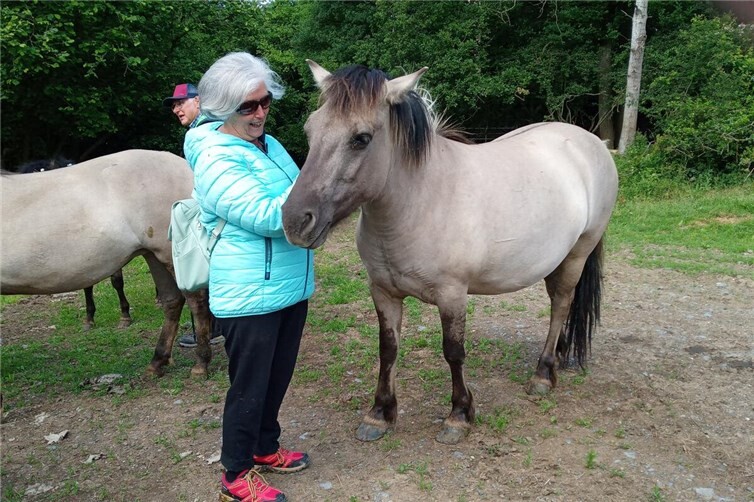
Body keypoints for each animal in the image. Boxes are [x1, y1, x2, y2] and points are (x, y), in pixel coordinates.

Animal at [282, 61, 619, 445]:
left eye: (361, 138)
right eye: (311, 129)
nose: (294, 221)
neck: (421, 201)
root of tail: (592, 142)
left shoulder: (452, 295)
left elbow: (453, 352)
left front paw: (459, 415)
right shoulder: (382, 291)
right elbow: (388, 348)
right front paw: (379, 413)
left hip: (579, 252)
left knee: (562, 302)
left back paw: (543, 375)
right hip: (556, 258)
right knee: (557, 305)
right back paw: (558, 356)